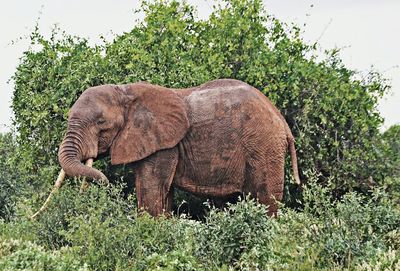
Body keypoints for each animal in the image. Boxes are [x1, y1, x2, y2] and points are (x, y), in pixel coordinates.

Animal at [53, 78, 298, 217]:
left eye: (101, 122)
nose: (105, 182)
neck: (126, 91)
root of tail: (281, 120)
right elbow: (161, 192)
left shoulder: (163, 144)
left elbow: (150, 191)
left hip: (264, 147)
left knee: (265, 199)